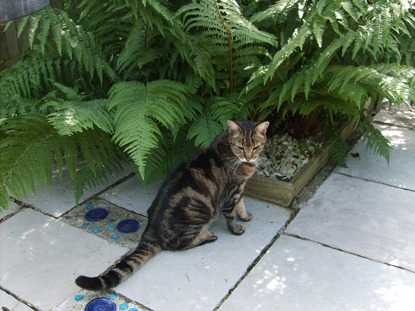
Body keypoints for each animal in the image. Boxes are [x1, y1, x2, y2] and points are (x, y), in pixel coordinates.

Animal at [75, 120, 270, 292]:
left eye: (255, 147)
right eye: (240, 147)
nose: (249, 156)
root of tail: (150, 231)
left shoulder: (239, 189)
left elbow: (241, 205)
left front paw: (245, 216)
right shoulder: (231, 194)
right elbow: (231, 217)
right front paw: (237, 229)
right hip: (201, 214)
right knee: (180, 245)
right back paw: (207, 236)